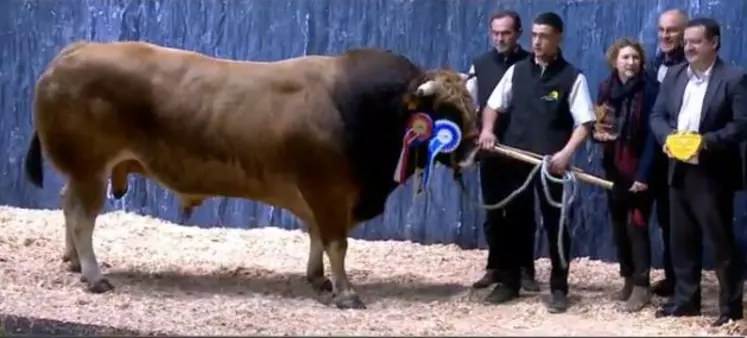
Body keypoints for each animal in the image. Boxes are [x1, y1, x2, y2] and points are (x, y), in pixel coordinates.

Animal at [24, 40, 480, 308]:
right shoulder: (330, 191)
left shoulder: (317, 195)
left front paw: (317, 279)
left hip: (84, 173)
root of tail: (71, 53)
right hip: (90, 171)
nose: (477, 148)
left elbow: (317, 238)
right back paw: (94, 276)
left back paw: (72, 263)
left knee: (68, 208)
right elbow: (336, 244)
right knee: (82, 218)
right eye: (447, 110)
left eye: (471, 105)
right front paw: (346, 292)